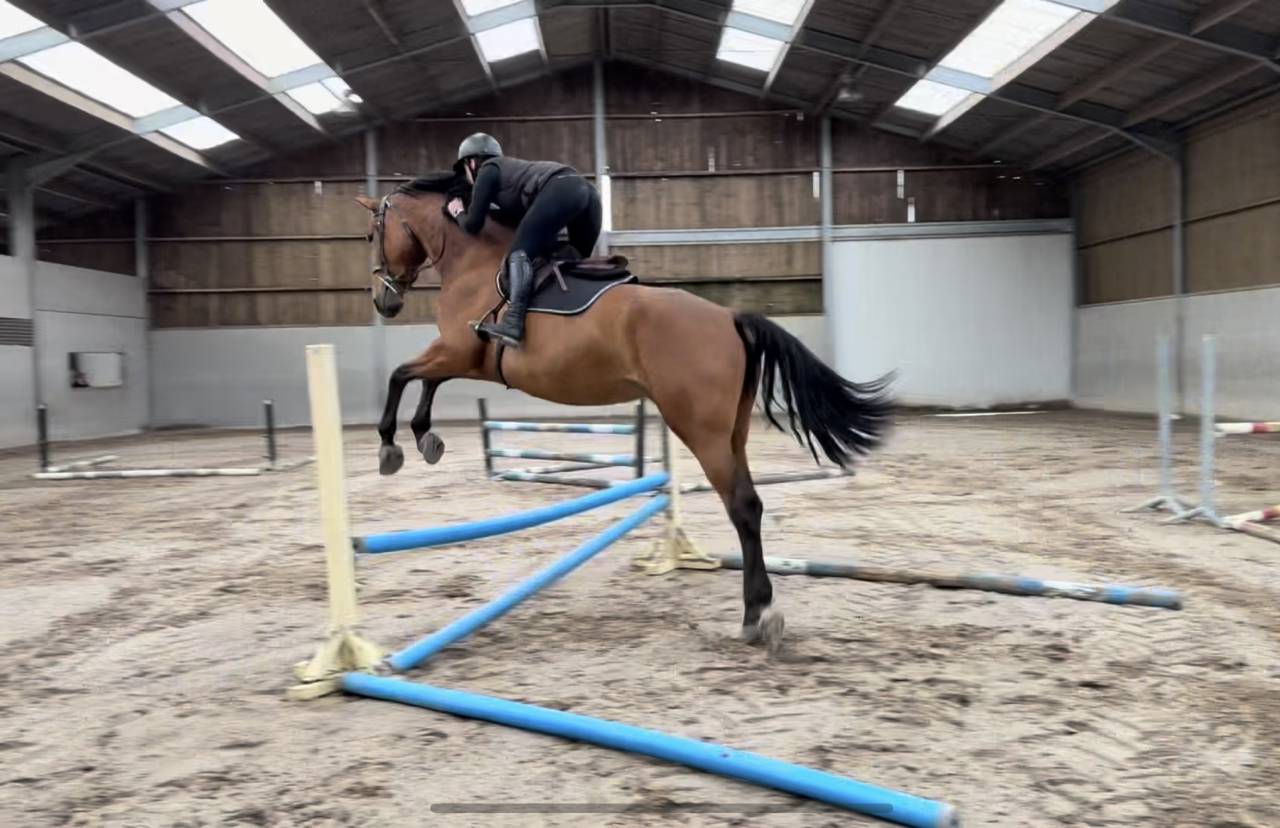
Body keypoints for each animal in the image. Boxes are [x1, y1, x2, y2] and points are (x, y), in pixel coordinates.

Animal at [355, 171, 893, 651]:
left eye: (372, 234)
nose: (383, 301)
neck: (471, 262)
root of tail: (728, 316)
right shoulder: (462, 358)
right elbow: (424, 379)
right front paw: (426, 438)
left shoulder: (458, 351)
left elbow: (402, 374)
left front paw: (392, 445)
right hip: (731, 431)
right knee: (752, 505)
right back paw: (757, 610)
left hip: (699, 429)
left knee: (740, 505)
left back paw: (754, 616)